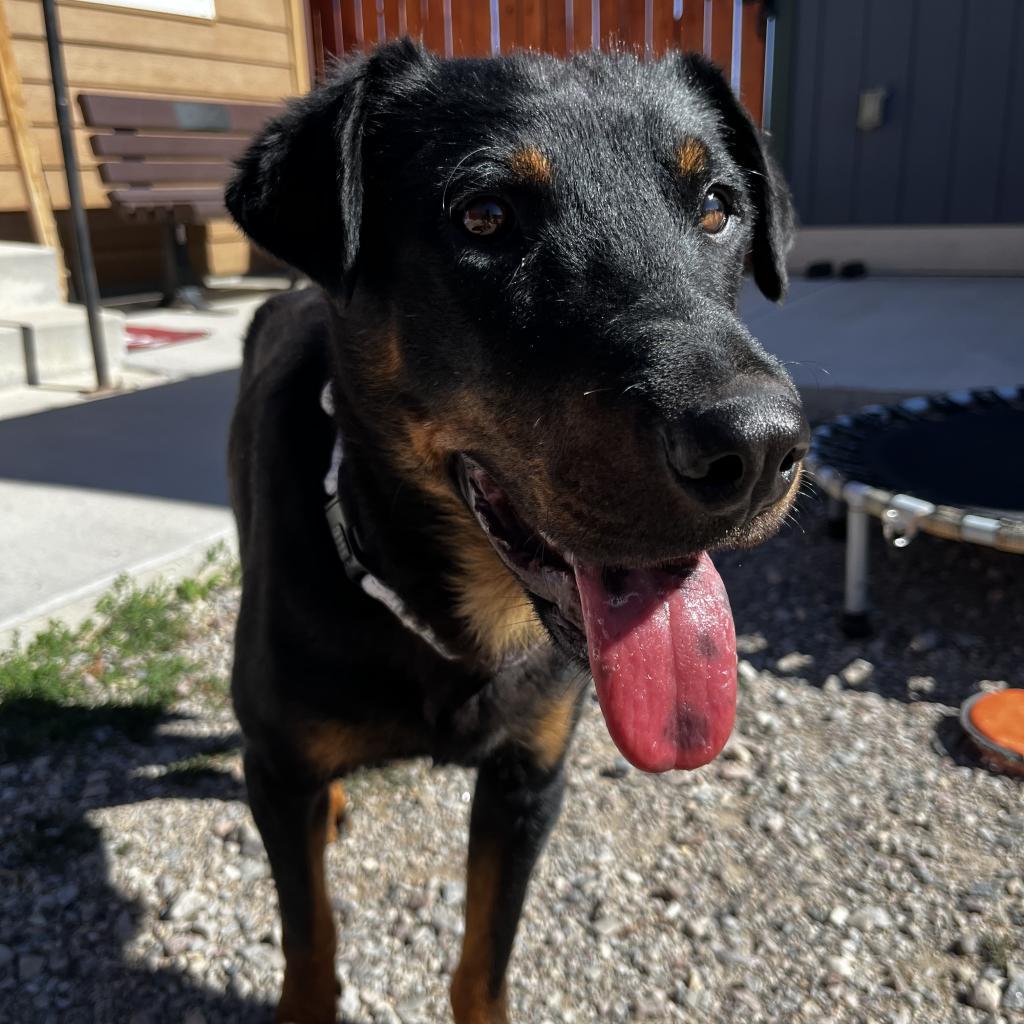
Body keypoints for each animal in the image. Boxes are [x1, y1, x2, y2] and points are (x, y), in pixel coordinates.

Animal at [224, 39, 806, 1024]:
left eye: (717, 207)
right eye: (485, 217)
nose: (761, 449)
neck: (451, 617)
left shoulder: (528, 779)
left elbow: (483, 962)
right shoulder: (277, 768)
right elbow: (310, 941)